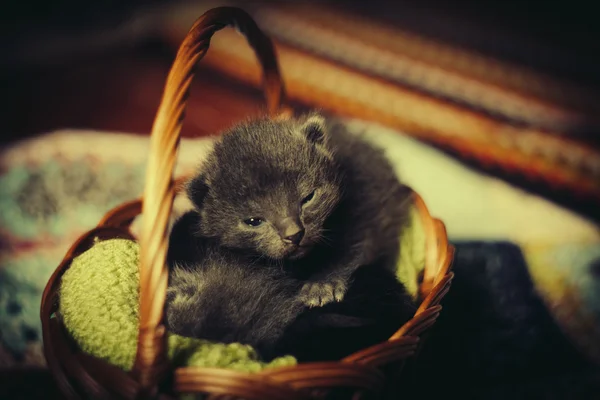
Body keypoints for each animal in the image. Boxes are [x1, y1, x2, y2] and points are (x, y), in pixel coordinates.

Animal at [189, 114, 412, 308]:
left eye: (308, 198)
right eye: (253, 221)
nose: (294, 235)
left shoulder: (365, 208)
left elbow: (353, 248)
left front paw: (322, 284)